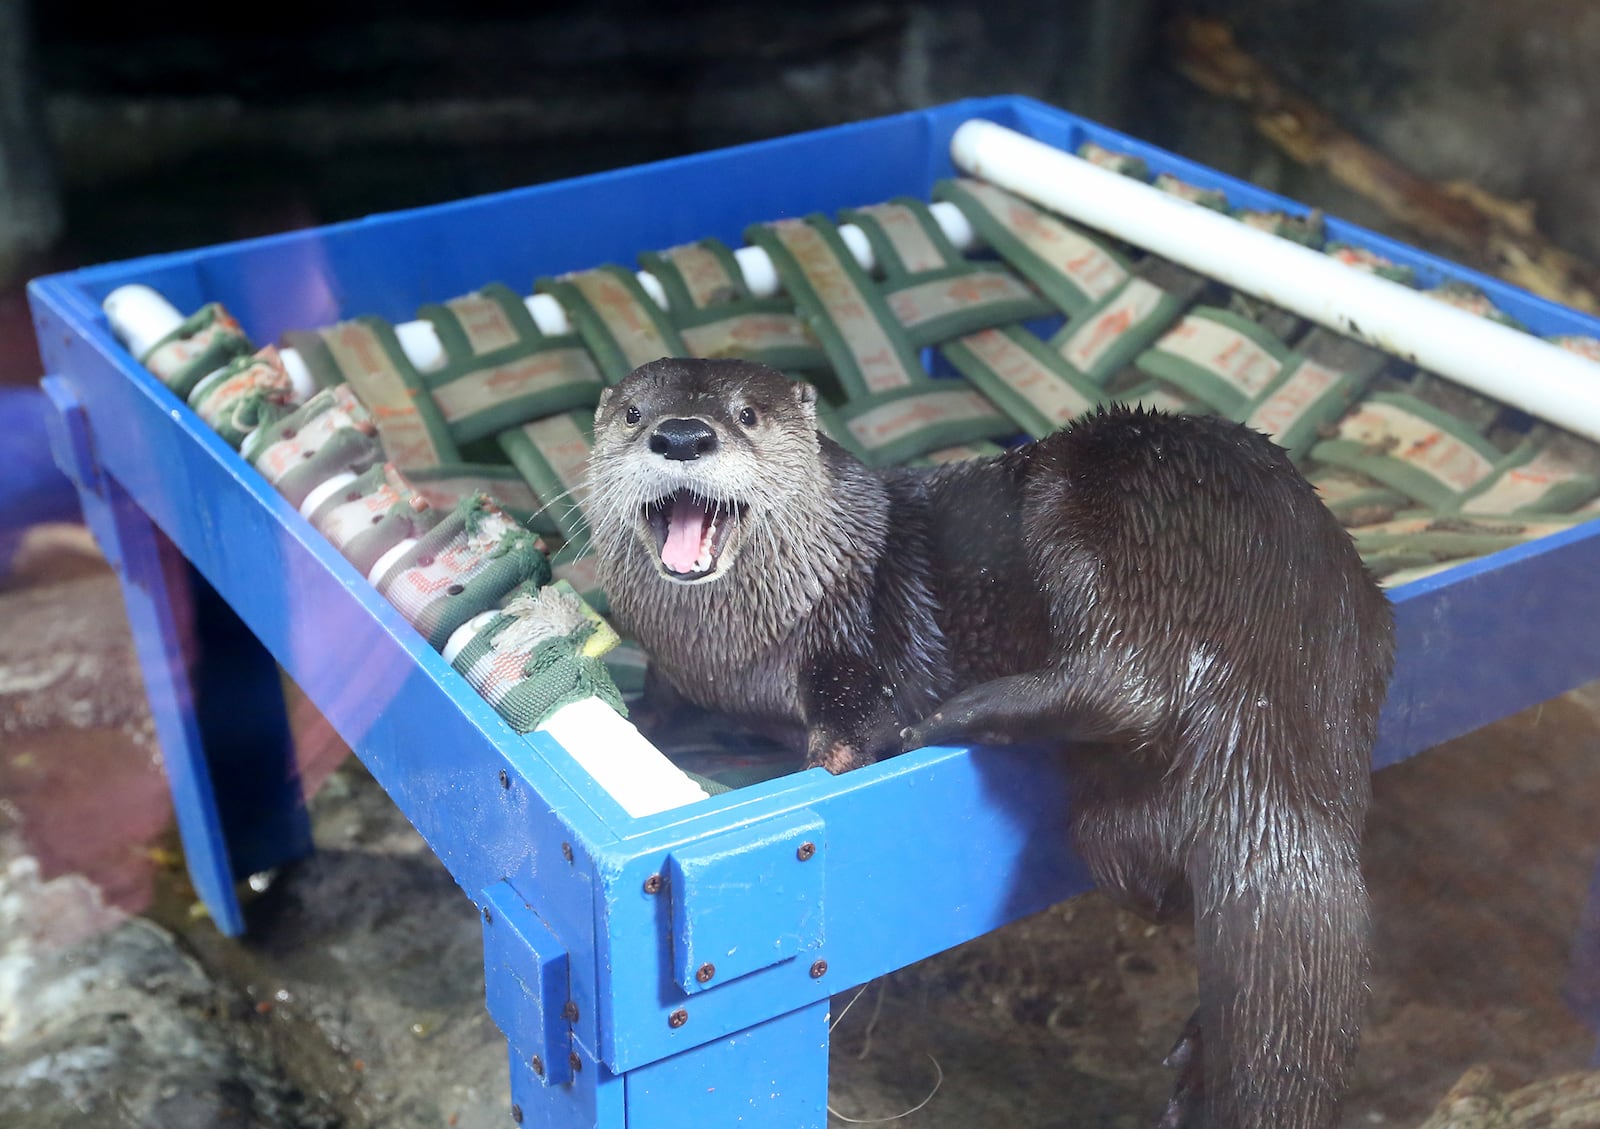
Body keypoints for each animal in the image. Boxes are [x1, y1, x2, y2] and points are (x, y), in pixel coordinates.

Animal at [585, 353, 1388, 1125]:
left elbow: (852, 734)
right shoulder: (677, 668)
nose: (682, 435)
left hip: (1102, 500)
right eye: (634, 413)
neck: (738, 660)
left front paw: (831, 763)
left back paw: (956, 716)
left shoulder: (852, 650)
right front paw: (630, 721)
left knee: (1127, 677)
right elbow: (657, 703)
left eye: (747, 414)